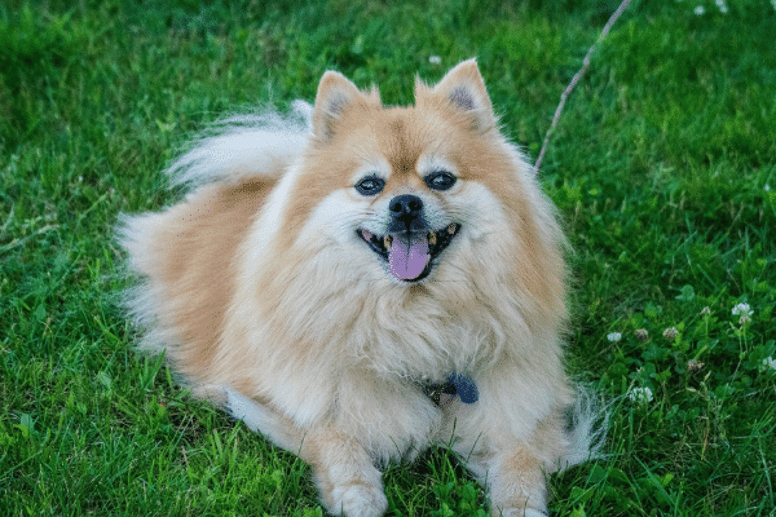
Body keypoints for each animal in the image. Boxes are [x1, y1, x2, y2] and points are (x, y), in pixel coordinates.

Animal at [121, 58, 604, 512]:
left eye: (441, 179)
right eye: (369, 185)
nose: (405, 204)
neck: (415, 319)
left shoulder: (522, 404)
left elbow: (522, 460)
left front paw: (520, 504)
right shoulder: (277, 393)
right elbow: (333, 437)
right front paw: (357, 493)